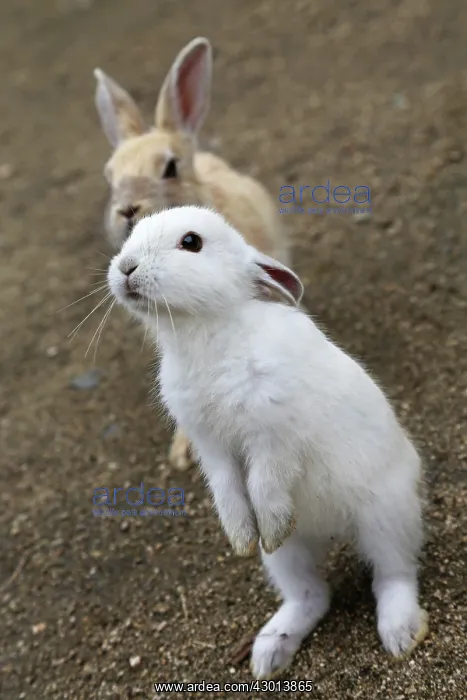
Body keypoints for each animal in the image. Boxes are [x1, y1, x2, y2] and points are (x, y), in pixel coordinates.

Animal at [107, 205, 429, 680]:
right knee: (310, 593)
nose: (126, 267)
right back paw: (269, 652)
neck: (206, 329)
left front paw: (268, 523)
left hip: (387, 516)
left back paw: (400, 633)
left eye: (191, 242)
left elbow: (264, 481)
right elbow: (227, 490)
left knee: (394, 573)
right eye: (132, 232)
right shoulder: (212, 448)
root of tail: (333, 532)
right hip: (285, 557)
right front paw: (239, 537)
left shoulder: (273, 436)